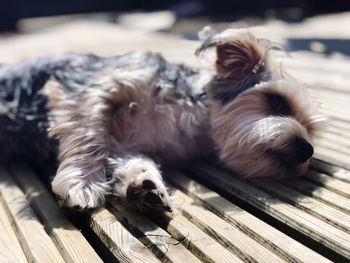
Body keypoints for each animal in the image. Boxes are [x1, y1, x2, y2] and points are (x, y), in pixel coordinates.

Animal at [0, 27, 322, 212]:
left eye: (310, 130)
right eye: (277, 101)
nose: (306, 149)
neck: (187, 120)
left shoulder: (126, 146)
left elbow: (133, 160)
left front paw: (144, 184)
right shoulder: (92, 87)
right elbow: (89, 133)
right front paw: (83, 182)